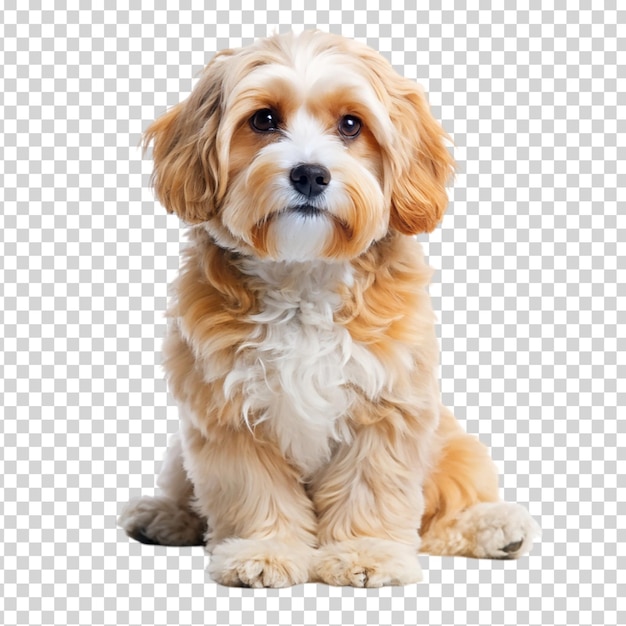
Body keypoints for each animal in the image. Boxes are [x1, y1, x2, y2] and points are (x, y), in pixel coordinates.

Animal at [119, 29, 540, 584]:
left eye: (351, 124)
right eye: (263, 120)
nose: (310, 174)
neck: (303, 275)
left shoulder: (386, 409)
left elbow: (372, 487)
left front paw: (365, 553)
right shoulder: (226, 415)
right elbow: (255, 492)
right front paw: (264, 551)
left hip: (454, 446)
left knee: (442, 512)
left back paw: (493, 527)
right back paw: (163, 516)